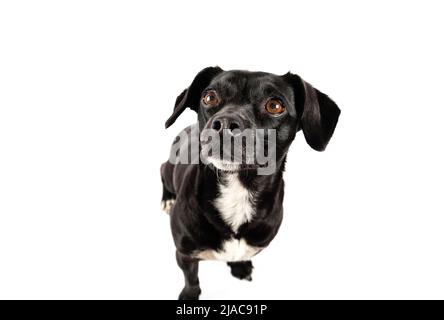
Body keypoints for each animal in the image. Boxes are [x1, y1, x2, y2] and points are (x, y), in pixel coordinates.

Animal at [161, 66, 342, 298]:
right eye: (209, 97)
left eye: (275, 105)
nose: (224, 124)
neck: (238, 188)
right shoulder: (184, 253)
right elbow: (191, 278)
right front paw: (190, 295)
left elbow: (241, 256)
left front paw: (240, 267)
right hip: (169, 169)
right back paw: (167, 199)